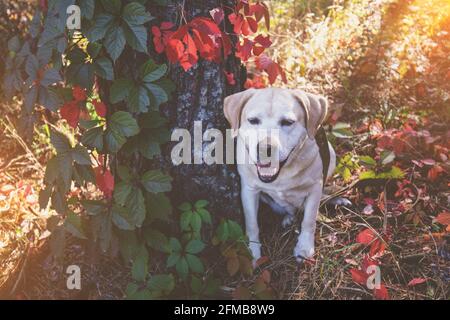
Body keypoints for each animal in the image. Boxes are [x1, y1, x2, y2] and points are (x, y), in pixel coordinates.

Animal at [223, 87, 340, 262]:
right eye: (253, 120)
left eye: (288, 122)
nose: (265, 149)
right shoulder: (249, 190)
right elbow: (251, 223)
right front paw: (252, 251)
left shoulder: (315, 188)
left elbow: (309, 220)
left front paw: (304, 246)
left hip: (331, 154)